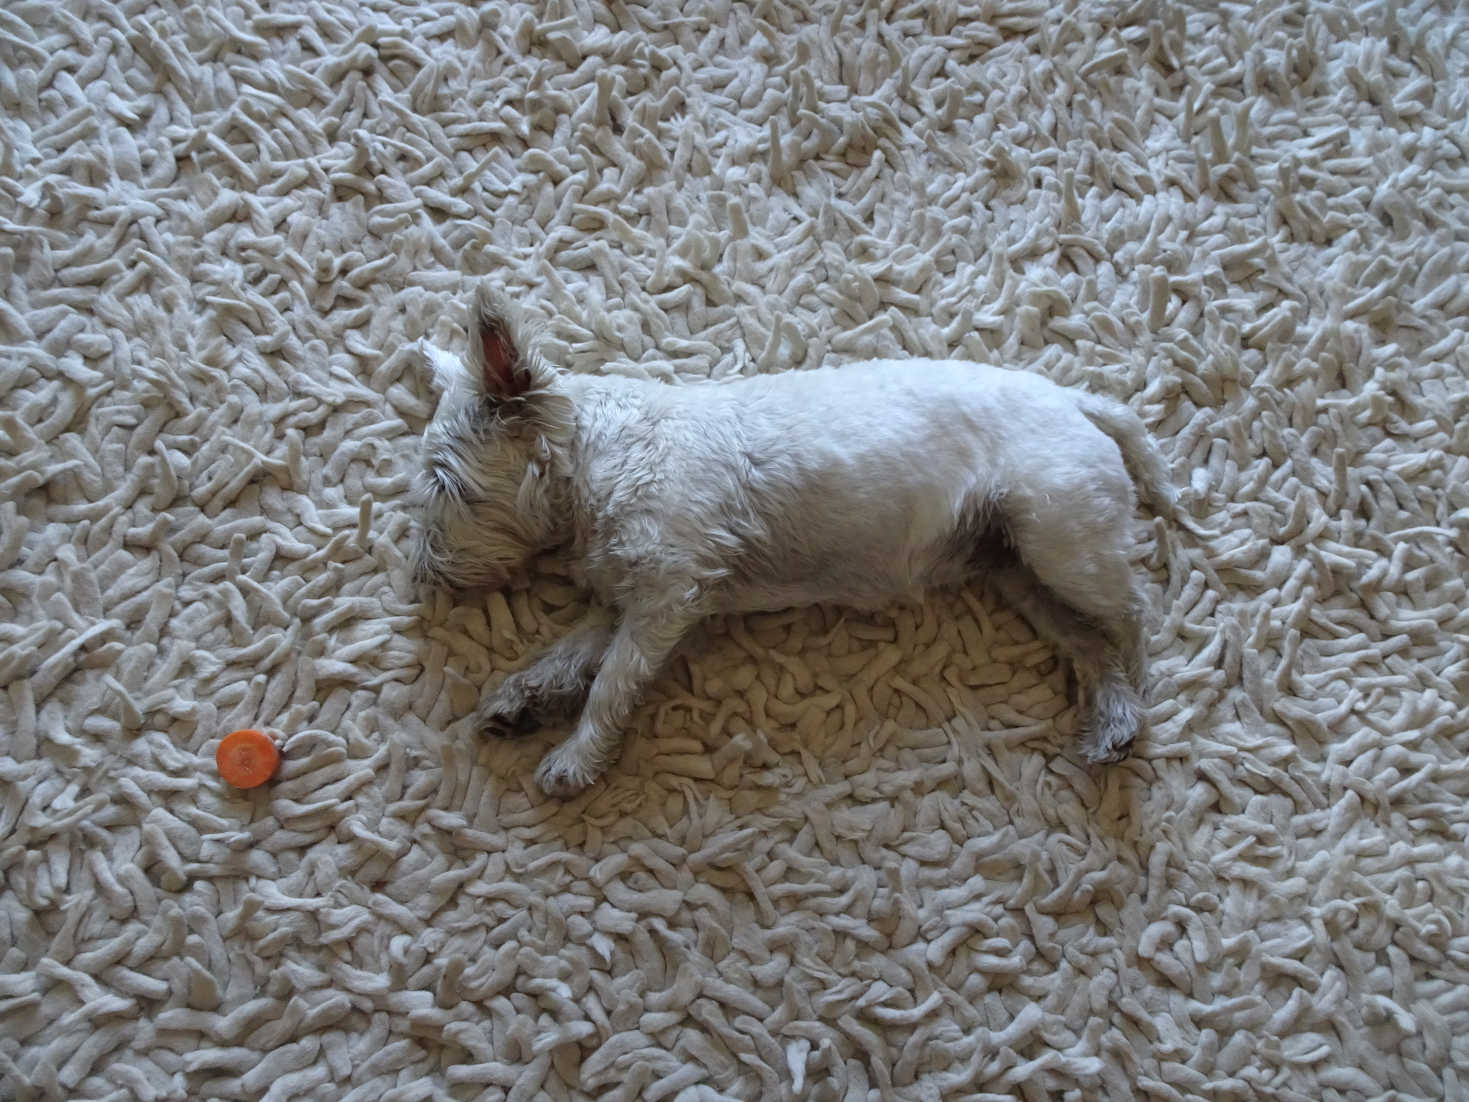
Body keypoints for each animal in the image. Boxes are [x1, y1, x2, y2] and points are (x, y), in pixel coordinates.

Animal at [411, 289, 1169, 799]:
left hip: (1060, 541)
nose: (425, 577)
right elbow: (570, 653)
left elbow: (610, 682)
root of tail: (1075, 402)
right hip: (1019, 572)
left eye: (444, 484)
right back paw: (1111, 724)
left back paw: (1137, 700)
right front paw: (521, 697)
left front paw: (573, 759)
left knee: (1134, 616)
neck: (598, 459)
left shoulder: (667, 595)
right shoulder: (630, 599)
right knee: (1088, 644)